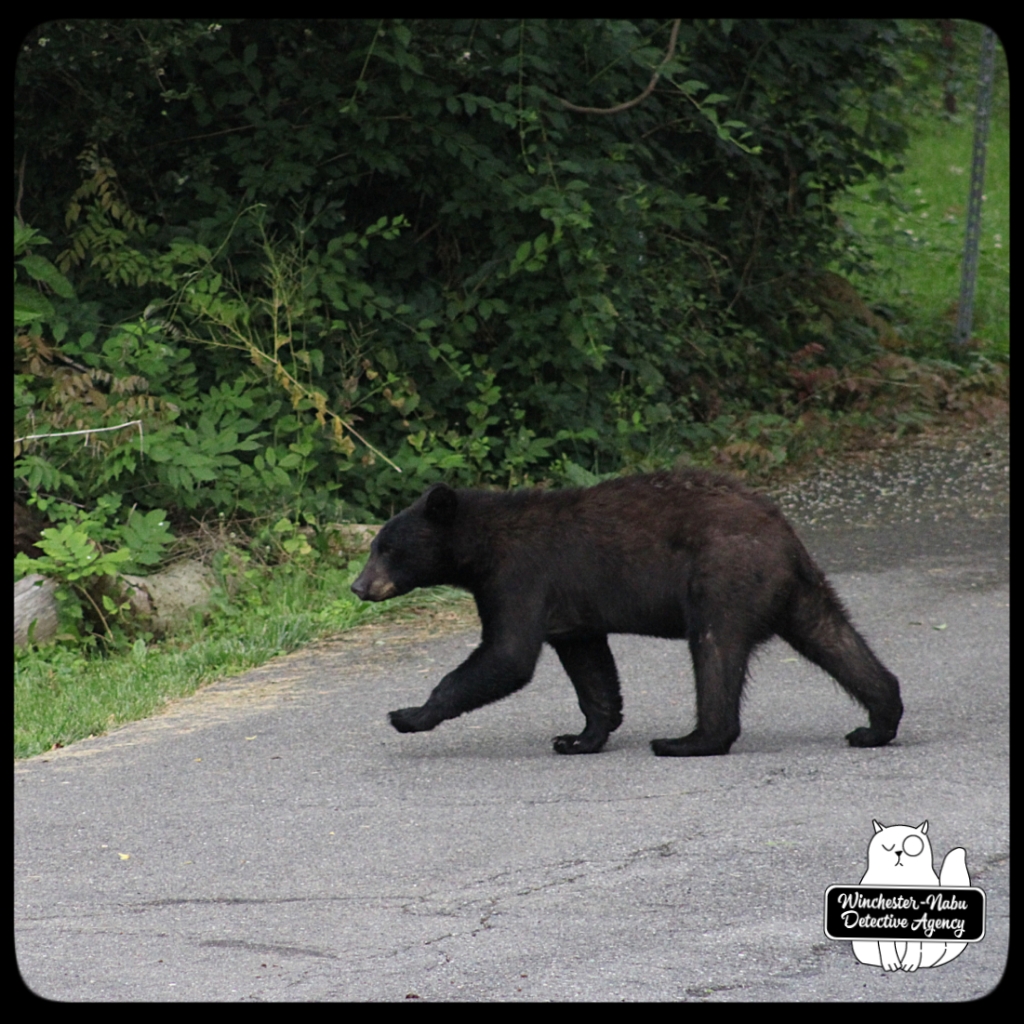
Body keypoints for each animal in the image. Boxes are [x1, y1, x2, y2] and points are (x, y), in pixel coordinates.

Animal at [350, 470, 903, 756]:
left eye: (387, 548)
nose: (358, 586)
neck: (482, 546)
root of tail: (785, 535)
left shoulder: (520, 577)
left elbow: (507, 654)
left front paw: (408, 715)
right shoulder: (572, 612)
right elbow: (591, 668)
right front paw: (579, 738)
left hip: (722, 576)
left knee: (715, 650)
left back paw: (691, 740)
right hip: (796, 592)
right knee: (834, 637)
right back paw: (877, 722)